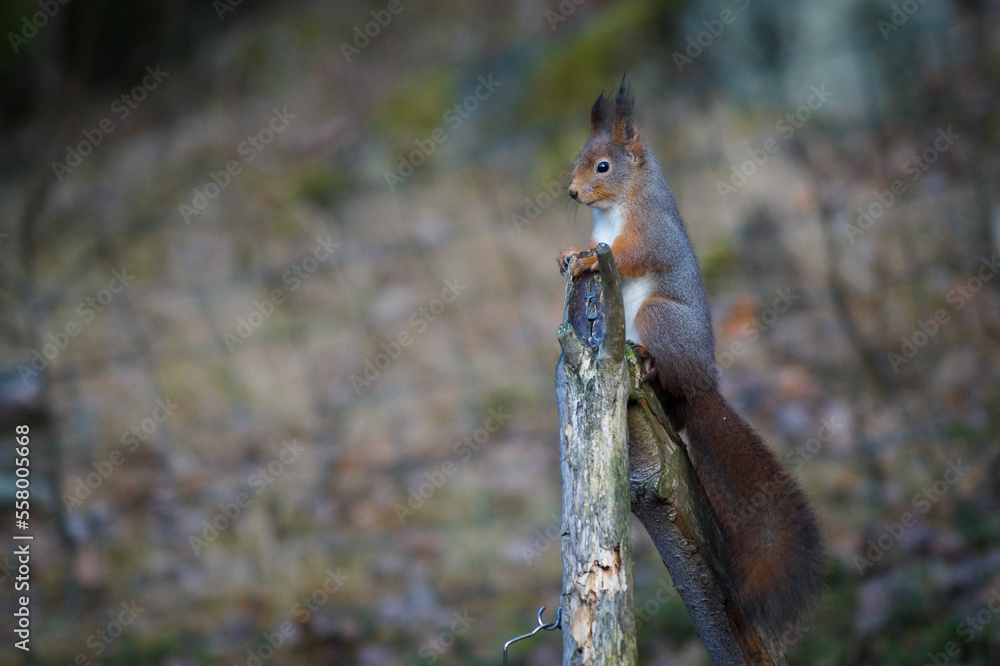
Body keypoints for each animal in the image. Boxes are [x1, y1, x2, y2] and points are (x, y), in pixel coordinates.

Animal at [560, 81, 824, 632]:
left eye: (602, 166)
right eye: (578, 158)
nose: (571, 192)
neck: (619, 206)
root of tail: (703, 386)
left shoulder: (651, 233)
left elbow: (634, 255)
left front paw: (590, 257)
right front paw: (570, 251)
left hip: (659, 317)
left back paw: (648, 360)